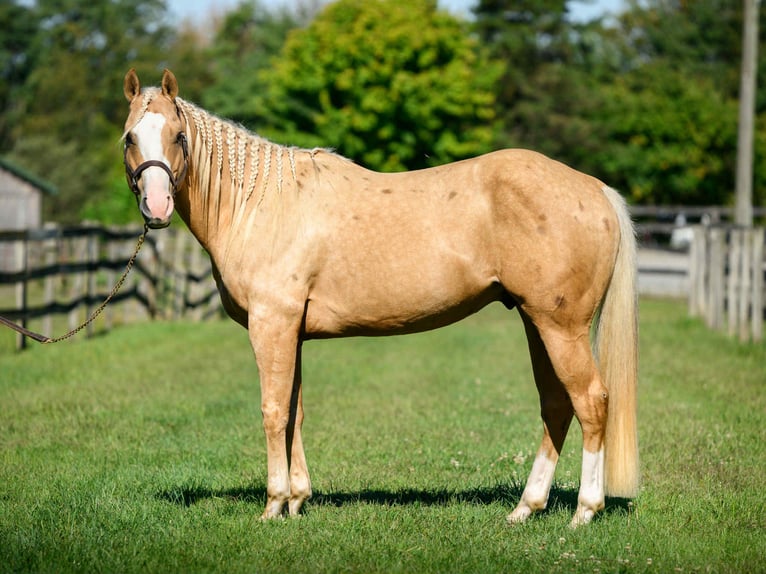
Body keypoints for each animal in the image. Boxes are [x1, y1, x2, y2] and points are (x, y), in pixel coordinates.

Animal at [122, 68, 638, 527]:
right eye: (130, 138)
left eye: (178, 135)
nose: (157, 207)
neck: (259, 204)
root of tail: (595, 189)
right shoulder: (293, 332)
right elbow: (295, 413)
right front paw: (297, 500)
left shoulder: (271, 324)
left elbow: (273, 412)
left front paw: (274, 504)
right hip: (536, 323)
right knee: (557, 405)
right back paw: (525, 509)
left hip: (561, 328)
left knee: (591, 402)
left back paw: (584, 511)